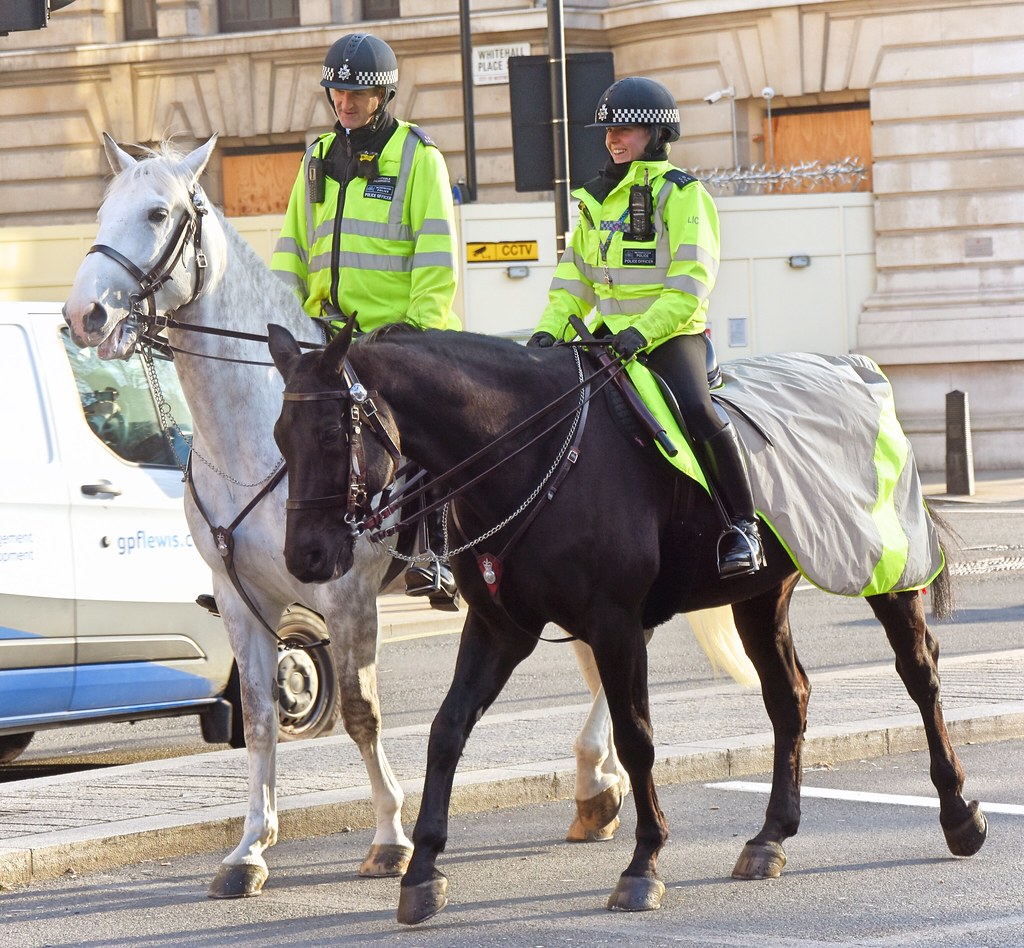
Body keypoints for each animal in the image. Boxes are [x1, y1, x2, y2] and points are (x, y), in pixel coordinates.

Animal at [59, 134, 721, 895]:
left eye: (158, 212)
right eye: (101, 211)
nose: (83, 315)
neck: (254, 443)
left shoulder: (347, 596)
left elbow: (359, 713)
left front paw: (391, 837)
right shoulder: (238, 596)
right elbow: (258, 717)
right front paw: (251, 846)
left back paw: (594, 781)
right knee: (596, 663)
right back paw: (599, 788)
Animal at [267, 319, 989, 925]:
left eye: (330, 433)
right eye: (279, 437)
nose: (304, 557)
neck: (533, 451)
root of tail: (858, 367)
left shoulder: (614, 624)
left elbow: (636, 737)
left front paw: (643, 864)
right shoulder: (500, 629)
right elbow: (446, 732)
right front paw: (421, 871)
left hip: (888, 577)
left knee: (920, 675)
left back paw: (958, 814)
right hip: (761, 595)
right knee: (790, 698)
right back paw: (770, 837)